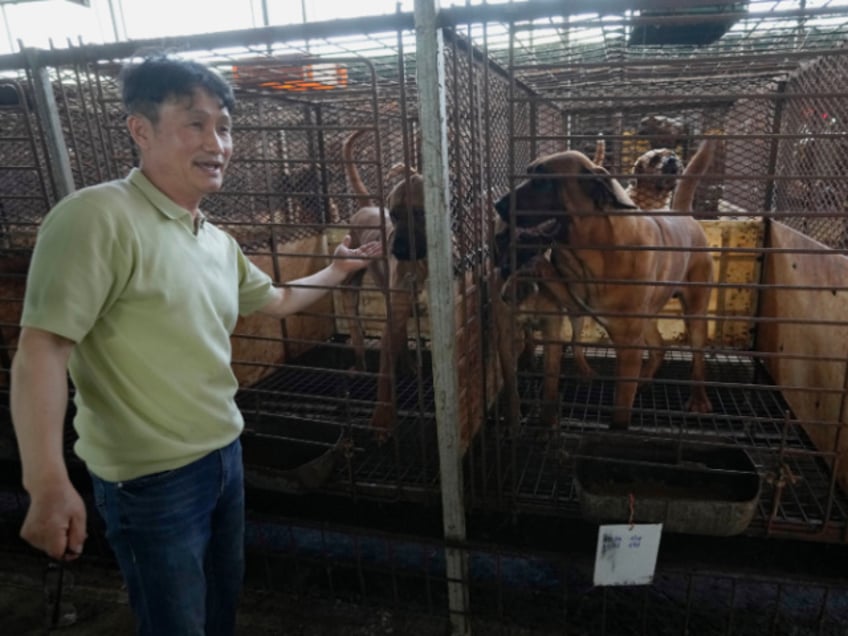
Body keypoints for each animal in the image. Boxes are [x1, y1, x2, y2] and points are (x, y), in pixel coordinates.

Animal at [340, 126, 428, 440]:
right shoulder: (394, 316)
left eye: (419, 213)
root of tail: (366, 207)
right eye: (393, 215)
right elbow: (385, 373)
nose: (396, 249)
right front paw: (383, 418)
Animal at [494, 139, 720, 428]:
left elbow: (622, 405)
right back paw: (645, 378)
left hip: (694, 313)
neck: (594, 250)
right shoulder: (573, 300)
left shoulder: (628, 344)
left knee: (698, 357)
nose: (498, 205)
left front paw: (618, 429)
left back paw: (699, 397)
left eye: (543, 181)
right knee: (659, 347)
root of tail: (682, 214)